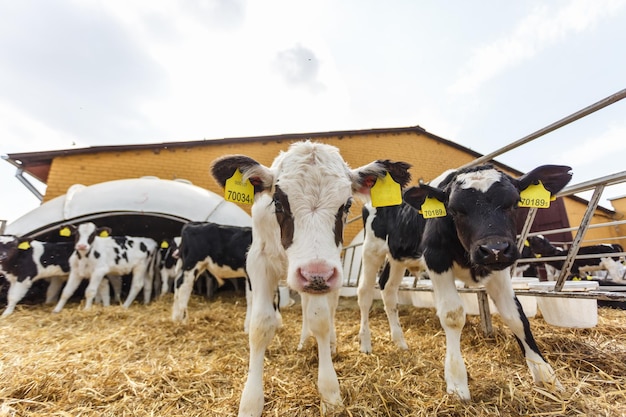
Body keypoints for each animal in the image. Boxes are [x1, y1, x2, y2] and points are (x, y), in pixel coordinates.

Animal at [212, 141, 412, 414]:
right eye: (278, 202)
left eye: (347, 204)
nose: (315, 274)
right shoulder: (259, 261)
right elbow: (260, 325)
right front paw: (251, 402)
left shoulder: (326, 272)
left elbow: (321, 321)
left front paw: (330, 392)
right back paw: (303, 341)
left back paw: (329, 344)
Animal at [356, 162, 572, 400]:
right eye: (455, 210)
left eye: (514, 202)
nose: (494, 248)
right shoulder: (436, 258)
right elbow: (453, 316)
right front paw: (457, 381)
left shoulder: (498, 267)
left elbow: (515, 316)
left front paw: (546, 375)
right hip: (371, 249)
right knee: (365, 293)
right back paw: (365, 343)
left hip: (397, 257)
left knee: (388, 289)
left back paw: (400, 341)